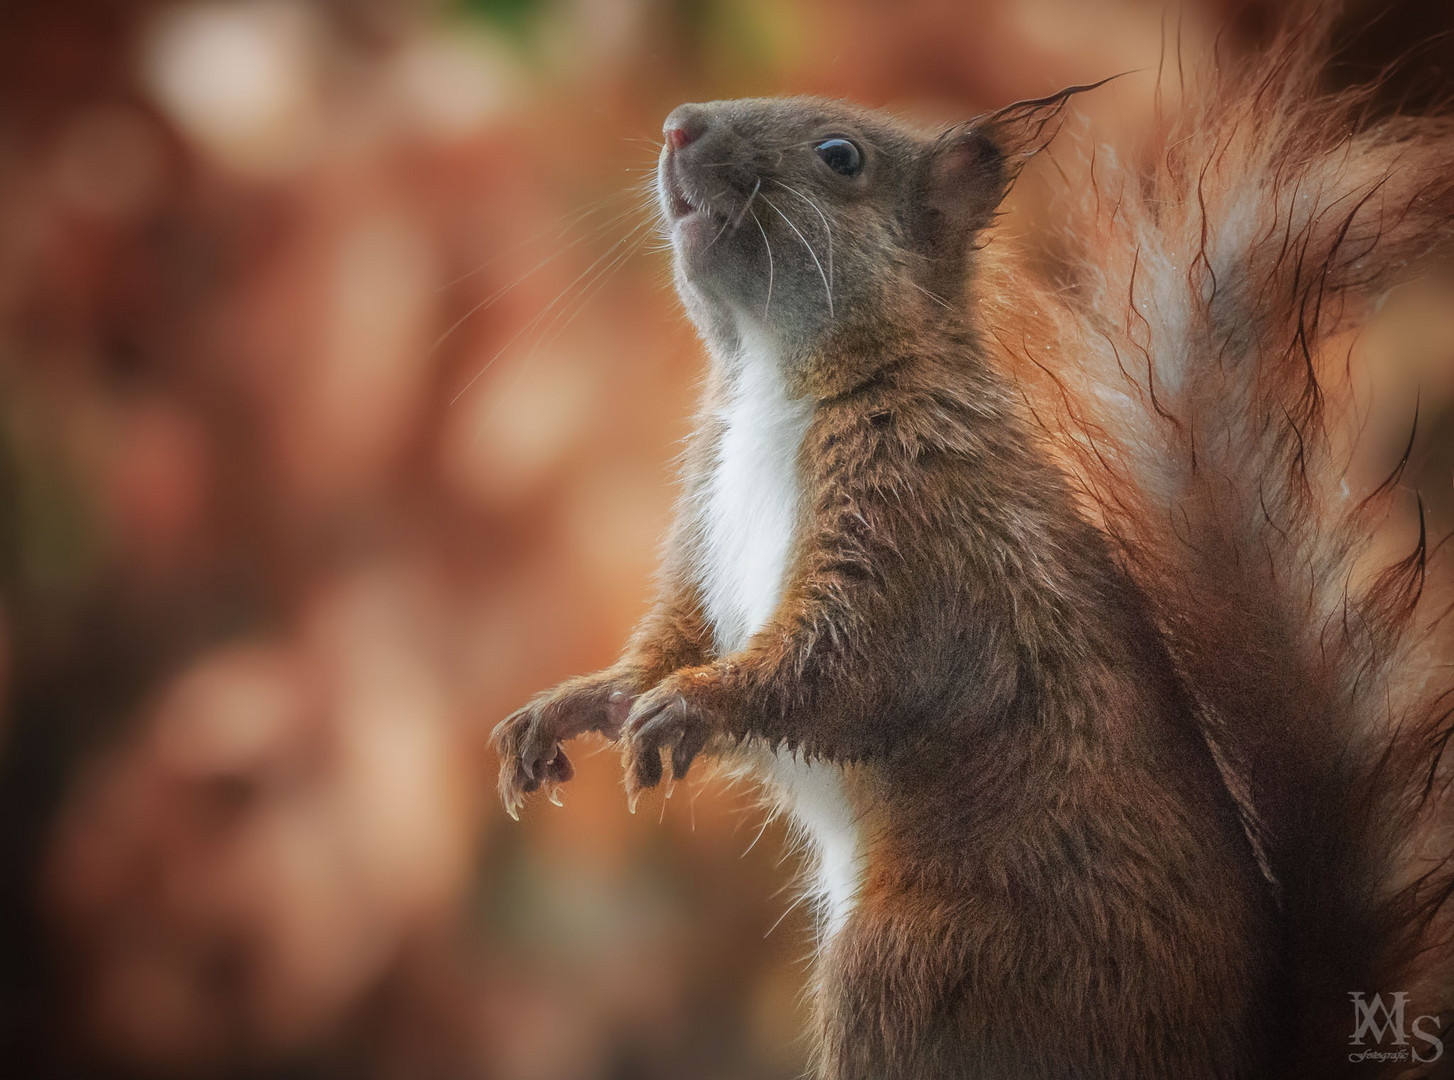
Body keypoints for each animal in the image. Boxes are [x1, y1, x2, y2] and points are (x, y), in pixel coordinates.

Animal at [491, 16, 1454, 1080]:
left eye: (841, 158)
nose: (677, 127)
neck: (777, 378)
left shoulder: (919, 532)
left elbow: (843, 666)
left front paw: (696, 706)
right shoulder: (707, 524)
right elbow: (674, 636)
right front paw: (577, 706)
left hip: (922, 958)